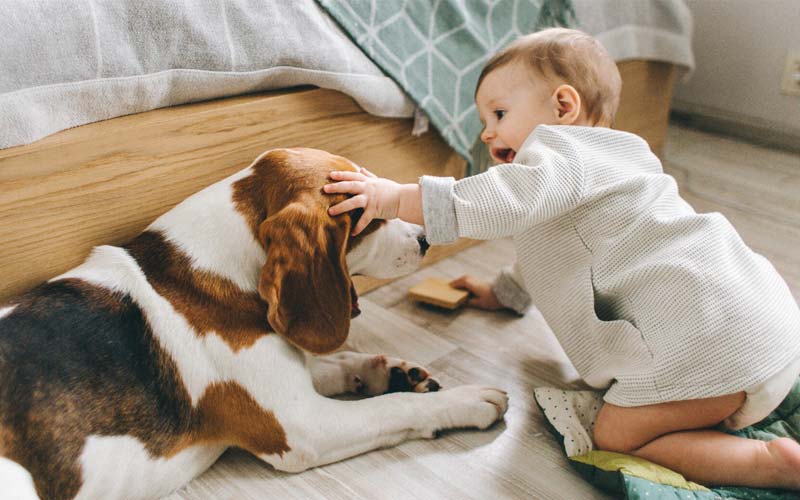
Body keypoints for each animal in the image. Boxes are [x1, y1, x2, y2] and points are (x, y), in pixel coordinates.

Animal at [0, 148, 510, 500]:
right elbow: (394, 410)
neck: (218, 268)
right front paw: (465, 400)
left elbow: (335, 363)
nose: (425, 239)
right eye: (368, 218)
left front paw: (392, 372)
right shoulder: (303, 427)